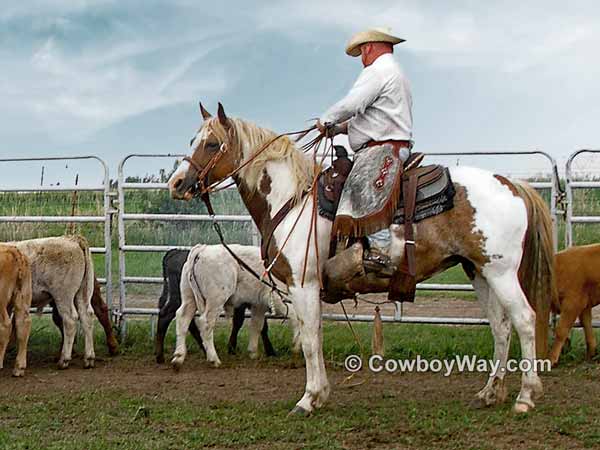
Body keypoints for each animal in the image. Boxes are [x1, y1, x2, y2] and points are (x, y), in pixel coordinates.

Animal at [166, 102, 556, 414]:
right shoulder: (301, 289)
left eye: (211, 144)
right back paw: (489, 392)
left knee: (524, 320)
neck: (292, 199)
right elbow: (313, 335)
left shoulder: (304, 285)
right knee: (501, 327)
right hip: (478, 271)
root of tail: (511, 184)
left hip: (501, 271)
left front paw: (308, 399)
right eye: (191, 141)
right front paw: (320, 394)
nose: (177, 183)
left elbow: (310, 341)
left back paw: (525, 396)